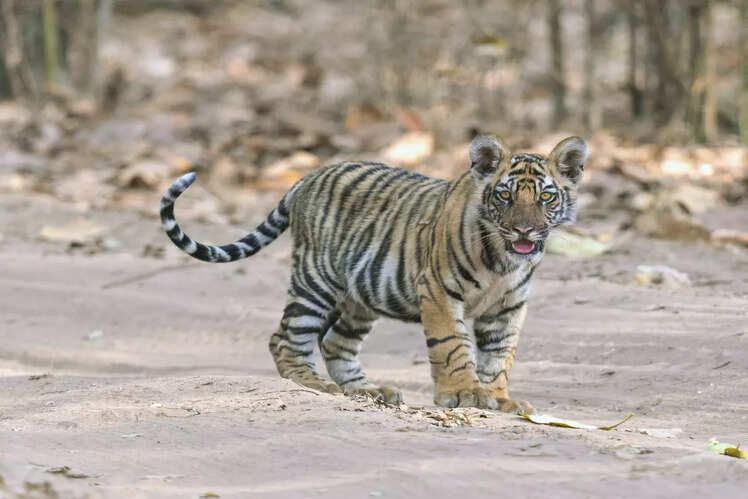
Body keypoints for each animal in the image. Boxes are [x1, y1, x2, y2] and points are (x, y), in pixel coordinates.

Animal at [160, 135, 588, 412]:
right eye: (505, 196)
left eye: (545, 197)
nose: (525, 231)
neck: (504, 258)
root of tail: (308, 175)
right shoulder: (439, 291)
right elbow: (452, 346)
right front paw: (464, 393)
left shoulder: (507, 307)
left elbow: (499, 355)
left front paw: (499, 398)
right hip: (316, 280)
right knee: (285, 338)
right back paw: (315, 385)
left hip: (359, 298)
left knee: (336, 344)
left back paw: (369, 392)